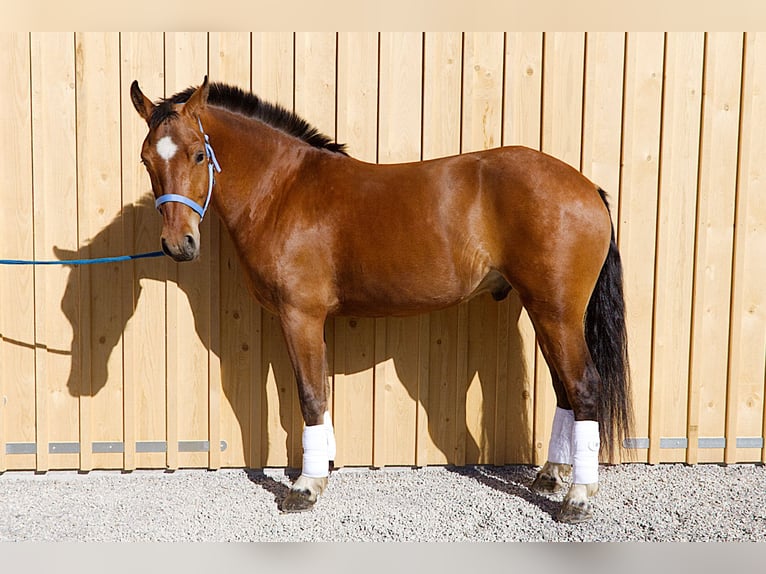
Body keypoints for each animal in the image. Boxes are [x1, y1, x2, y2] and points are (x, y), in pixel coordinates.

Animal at [132, 76, 632, 528]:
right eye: (145, 159)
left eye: (198, 154)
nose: (178, 244)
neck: (283, 189)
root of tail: (587, 188)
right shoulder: (312, 321)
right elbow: (321, 391)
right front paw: (324, 467)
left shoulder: (300, 315)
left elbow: (310, 395)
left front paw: (306, 488)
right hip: (546, 312)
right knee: (564, 389)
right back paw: (552, 476)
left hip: (557, 313)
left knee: (584, 386)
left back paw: (577, 497)